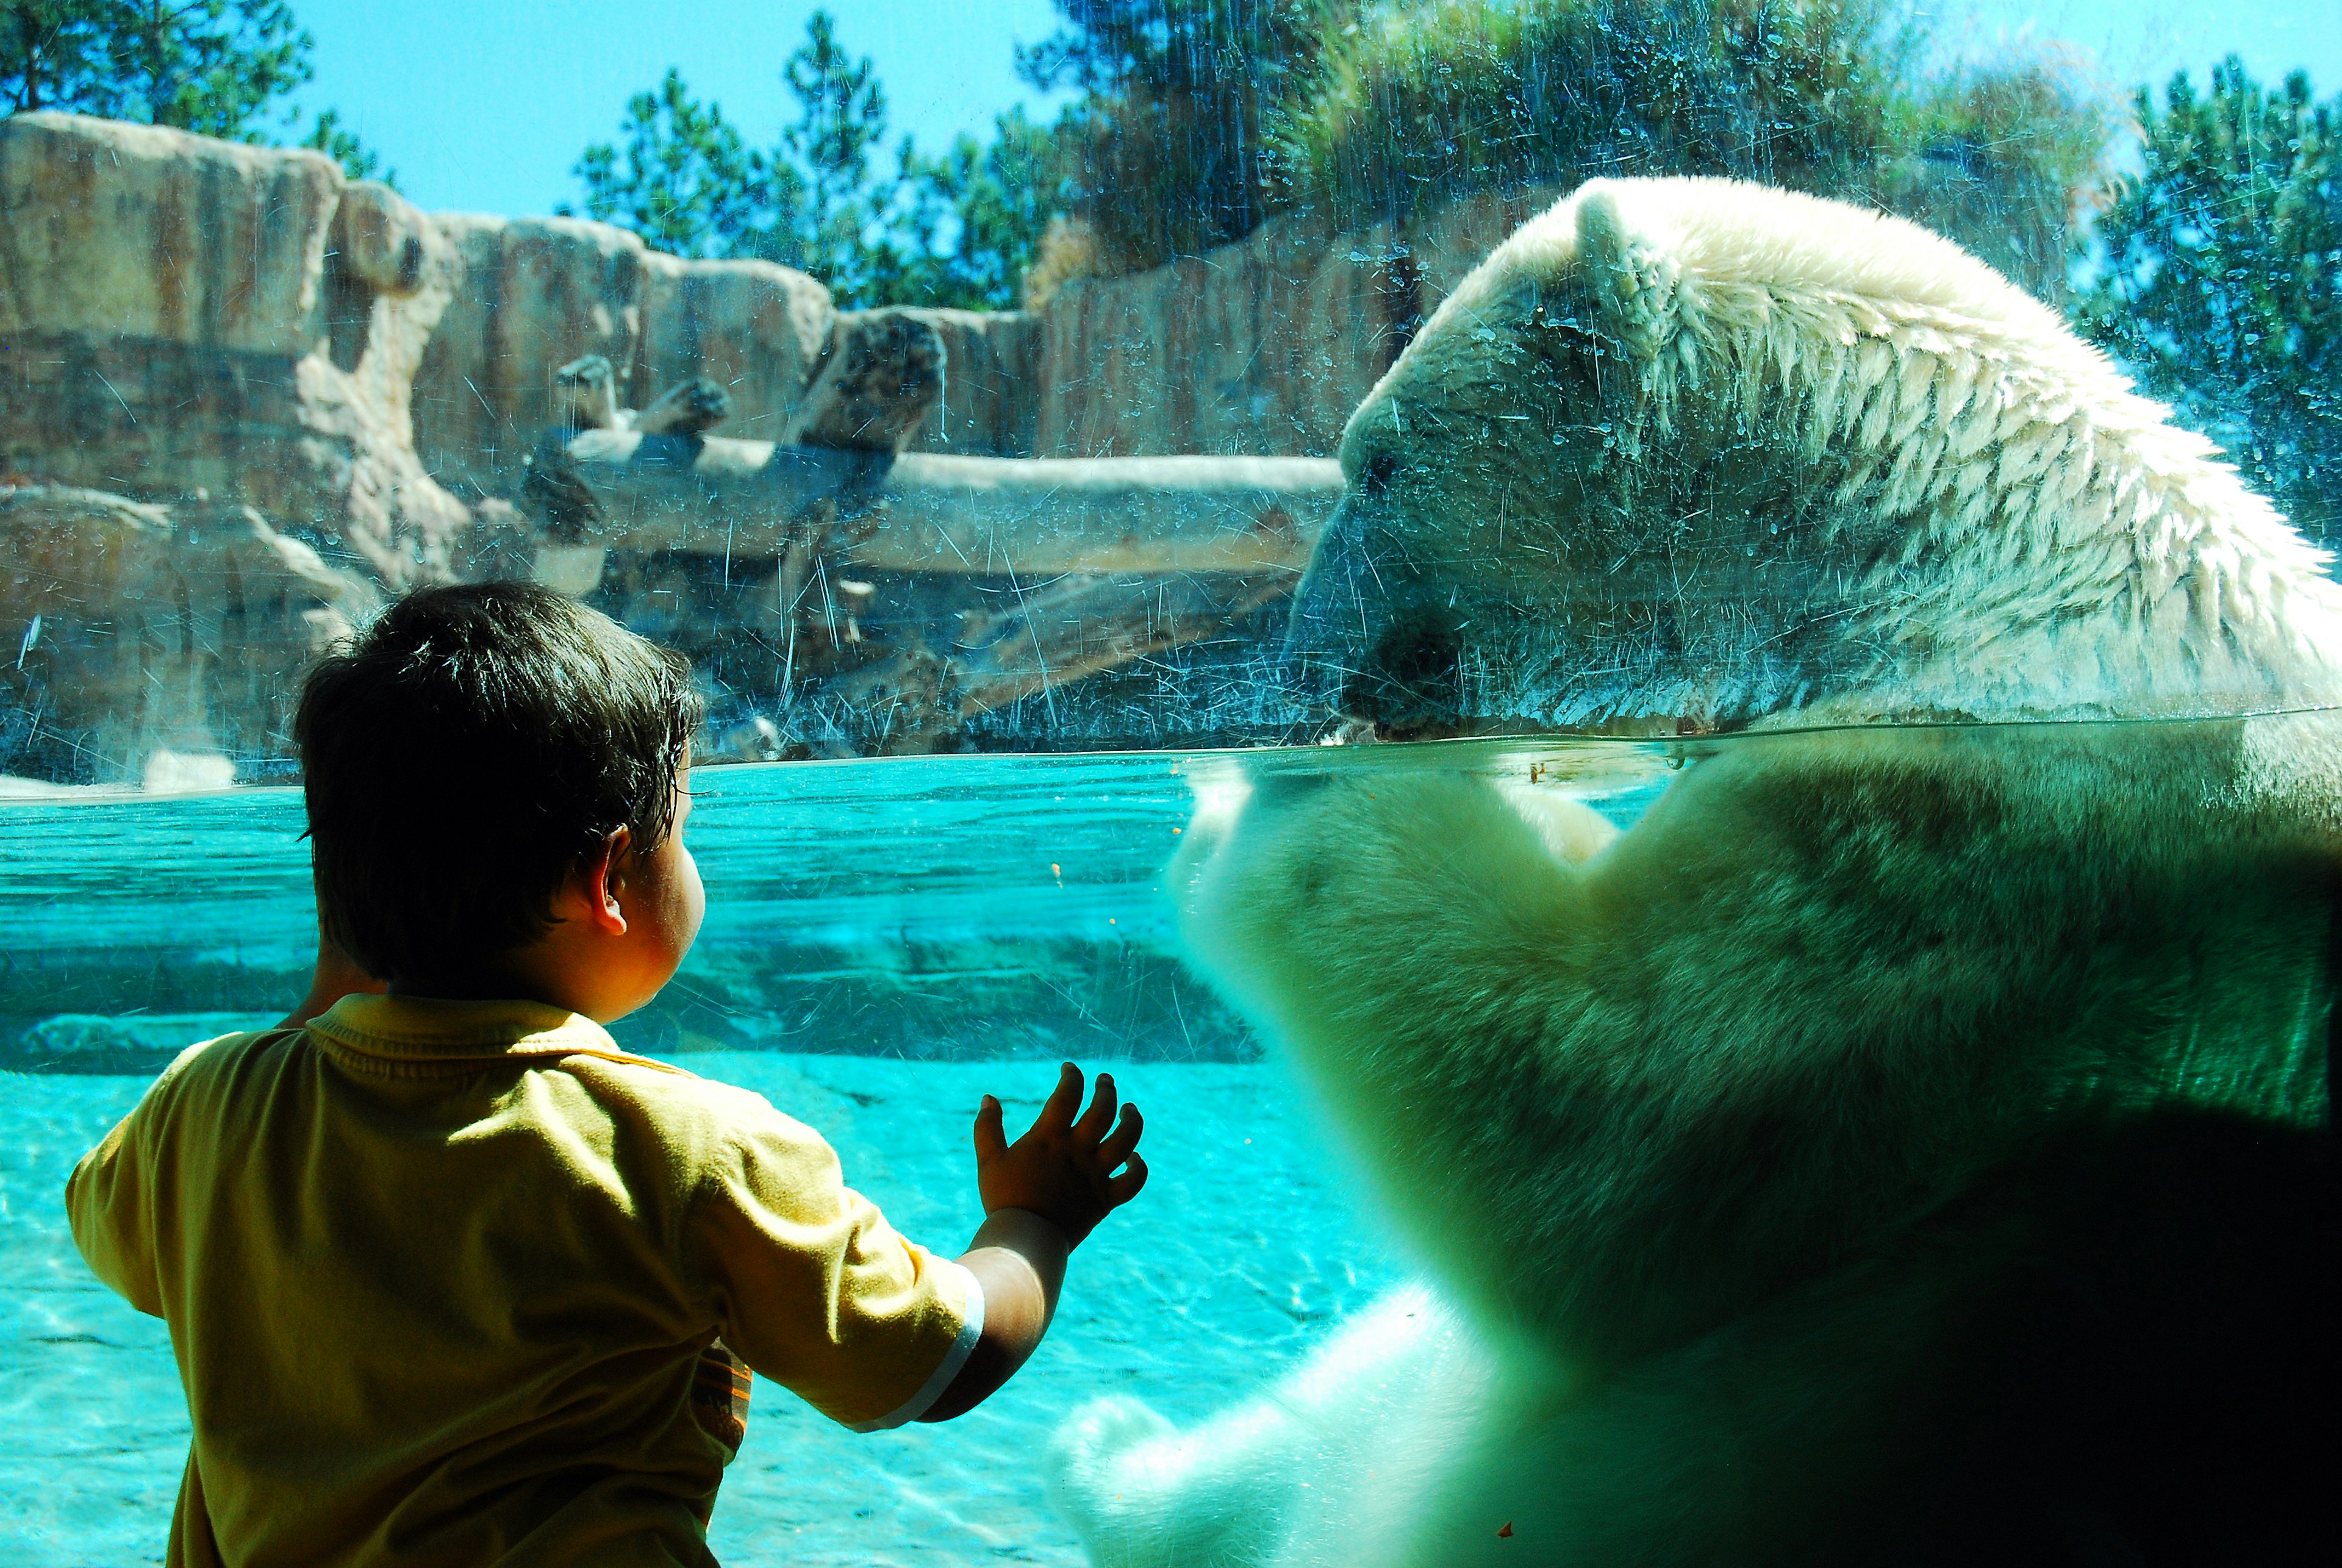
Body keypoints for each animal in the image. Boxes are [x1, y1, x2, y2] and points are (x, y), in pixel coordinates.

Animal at [1054, 187, 2332, 1568]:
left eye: (1377, 463)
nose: (1303, 666)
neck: (1978, 565)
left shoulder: (1997, 826)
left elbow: (1607, 1135)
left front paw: (1257, 802)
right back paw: (1114, 1452)